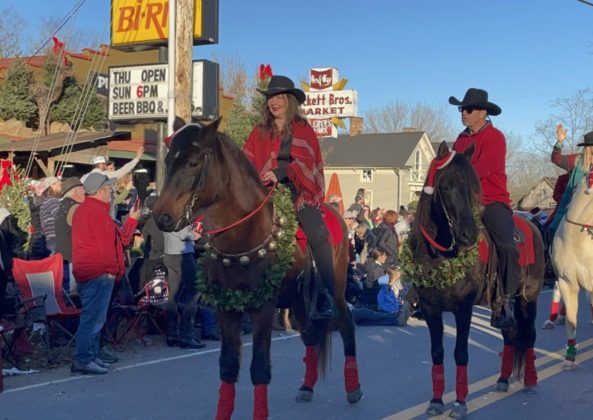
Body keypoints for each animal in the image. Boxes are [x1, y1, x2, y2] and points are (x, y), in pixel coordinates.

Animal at [151, 120, 360, 418]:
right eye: (168, 161)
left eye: (193, 162)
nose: (162, 217)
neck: (243, 234)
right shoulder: (226, 308)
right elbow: (228, 366)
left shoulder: (263, 307)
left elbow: (259, 368)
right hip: (298, 300)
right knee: (310, 334)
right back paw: (306, 387)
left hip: (336, 288)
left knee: (345, 324)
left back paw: (353, 387)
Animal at [404, 143, 544, 418]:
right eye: (446, 187)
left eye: (472, 188)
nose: (467, 235)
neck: (439, 256)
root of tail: (532, 225)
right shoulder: (430, 309)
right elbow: (437, 353)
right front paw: (436, 401)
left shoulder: (463, 308)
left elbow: (460, 353)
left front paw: (459, 403)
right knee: (510, 332)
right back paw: (502, 379)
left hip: (528, 297)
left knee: (529, 335)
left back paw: (531, 382)